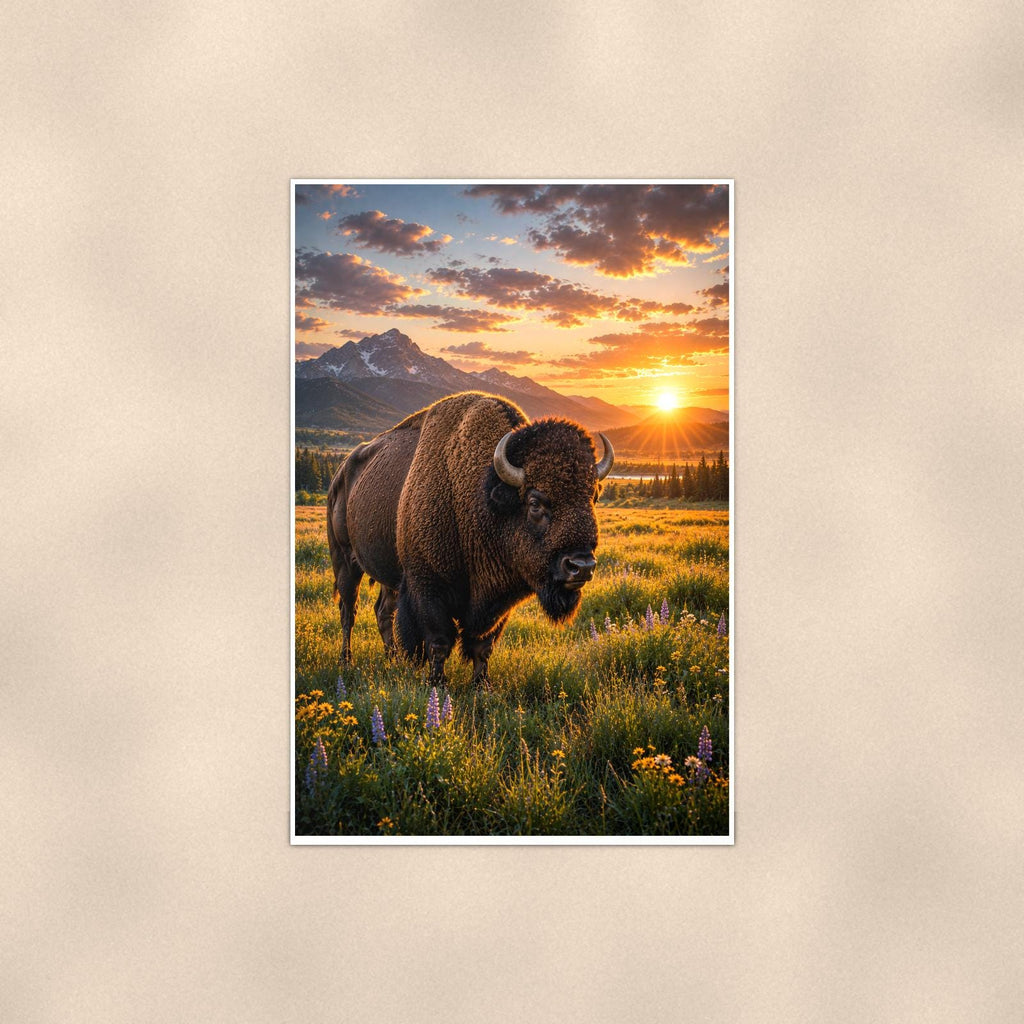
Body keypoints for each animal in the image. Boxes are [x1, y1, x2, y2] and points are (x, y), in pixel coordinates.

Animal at [326, 391, 613, 686]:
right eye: (535, 502)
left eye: (593, 497)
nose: (582, 566)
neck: (481, 497)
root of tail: (340, 472)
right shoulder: (427, 587)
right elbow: (438, 641)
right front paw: (437, 683)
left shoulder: (497, 601)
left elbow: (482, 645)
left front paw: (481, 685)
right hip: (344, 560)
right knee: (348, 610)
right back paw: (346, 661)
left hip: (388, 574)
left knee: (383, 611)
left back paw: (392, 659)